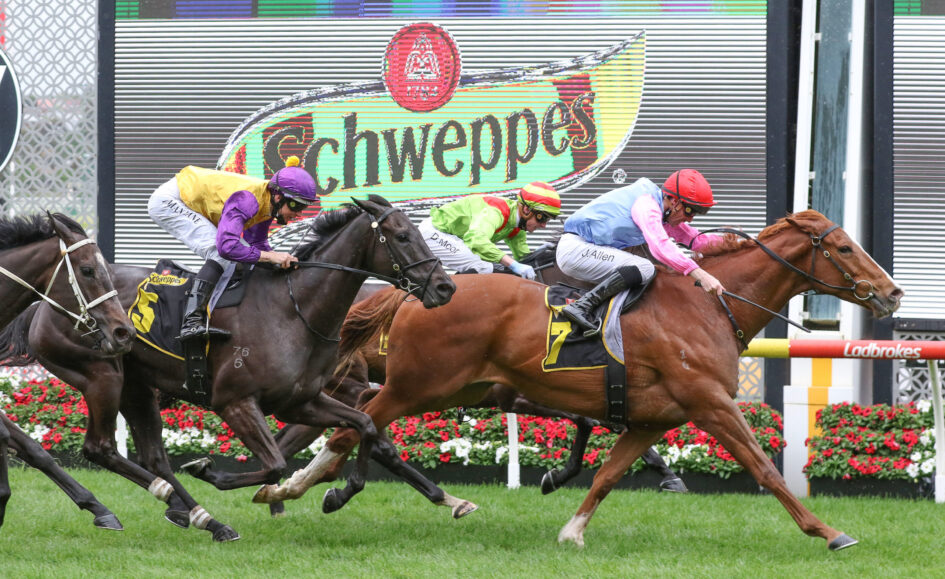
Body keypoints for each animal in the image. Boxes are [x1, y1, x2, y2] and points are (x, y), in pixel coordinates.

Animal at [255, 210, 902, 551]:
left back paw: (295, 488)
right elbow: (764, 467)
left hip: (452, 388)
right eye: (844, 247)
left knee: (348, 427)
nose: (893, 292)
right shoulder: (711, 402)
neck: (707, 307)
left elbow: (610, 474)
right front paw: (828, 531)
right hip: (418, 386)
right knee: (351, 429)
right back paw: (292, 488)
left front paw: (571, 529)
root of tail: (416, 292)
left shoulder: (653, 418)